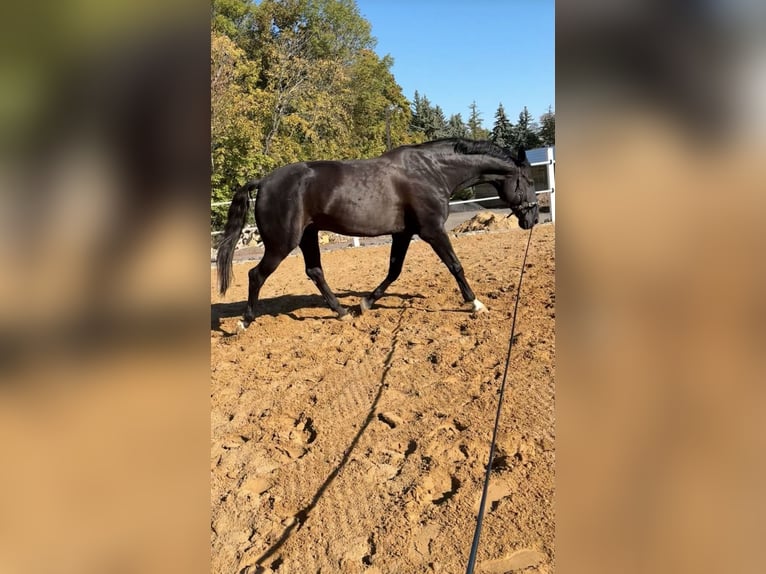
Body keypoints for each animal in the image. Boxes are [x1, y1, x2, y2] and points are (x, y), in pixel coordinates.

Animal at [215, 138, 539, 328]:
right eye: (530, 180)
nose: (533, 218)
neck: (432, 171)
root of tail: (263, 181)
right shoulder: (433, 231)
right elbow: (455, 266)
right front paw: (476, 304)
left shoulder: (403, 234)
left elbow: (394, 270)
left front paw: (365, 303)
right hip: (282, 243)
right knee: (256, 275)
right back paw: (244, 322)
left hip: (308, 236)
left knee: (315, 271)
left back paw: (342, 312)